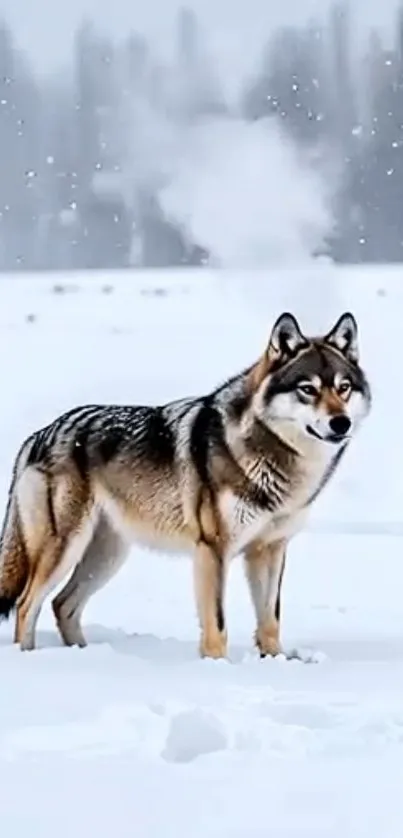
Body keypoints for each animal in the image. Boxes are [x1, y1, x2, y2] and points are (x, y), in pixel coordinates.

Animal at [0, 311, 371, 658]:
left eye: (343, 387)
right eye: (307, 389)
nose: (341, 423)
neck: (273, 456)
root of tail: (39, 434)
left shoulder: (270, 548)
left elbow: (270, 620)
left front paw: (275, 662)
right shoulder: (213, 549)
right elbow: (217, 624)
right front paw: (217, 667)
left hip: (108, 555)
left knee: (62, 604)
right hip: (66, 548)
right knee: (27, 604)